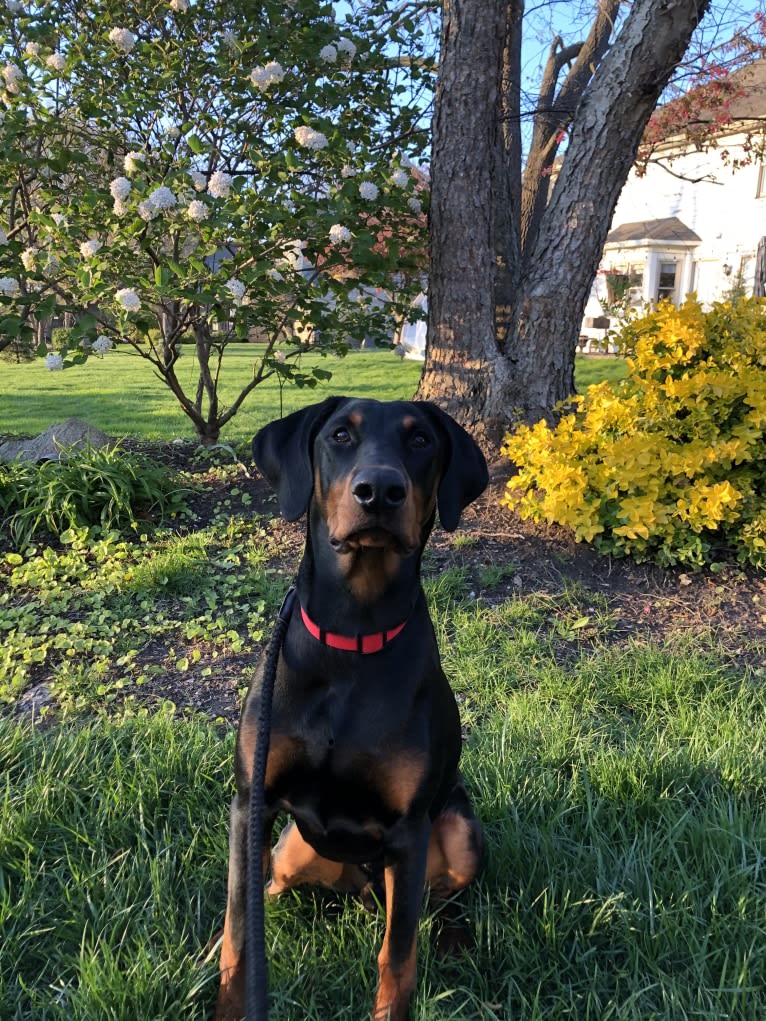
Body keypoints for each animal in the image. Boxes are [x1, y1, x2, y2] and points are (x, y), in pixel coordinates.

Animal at [214, 396, 492, 1021]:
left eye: (420, 441)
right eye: (340, 435)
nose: (380, 491)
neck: (353, 634)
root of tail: (359, 884)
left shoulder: (409, 831)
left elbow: (399, 956)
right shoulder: (251, 803)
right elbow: (240, 936)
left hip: (458, 834)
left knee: (434, 902)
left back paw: (455, 937)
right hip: (290, 850)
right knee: (269, 888)